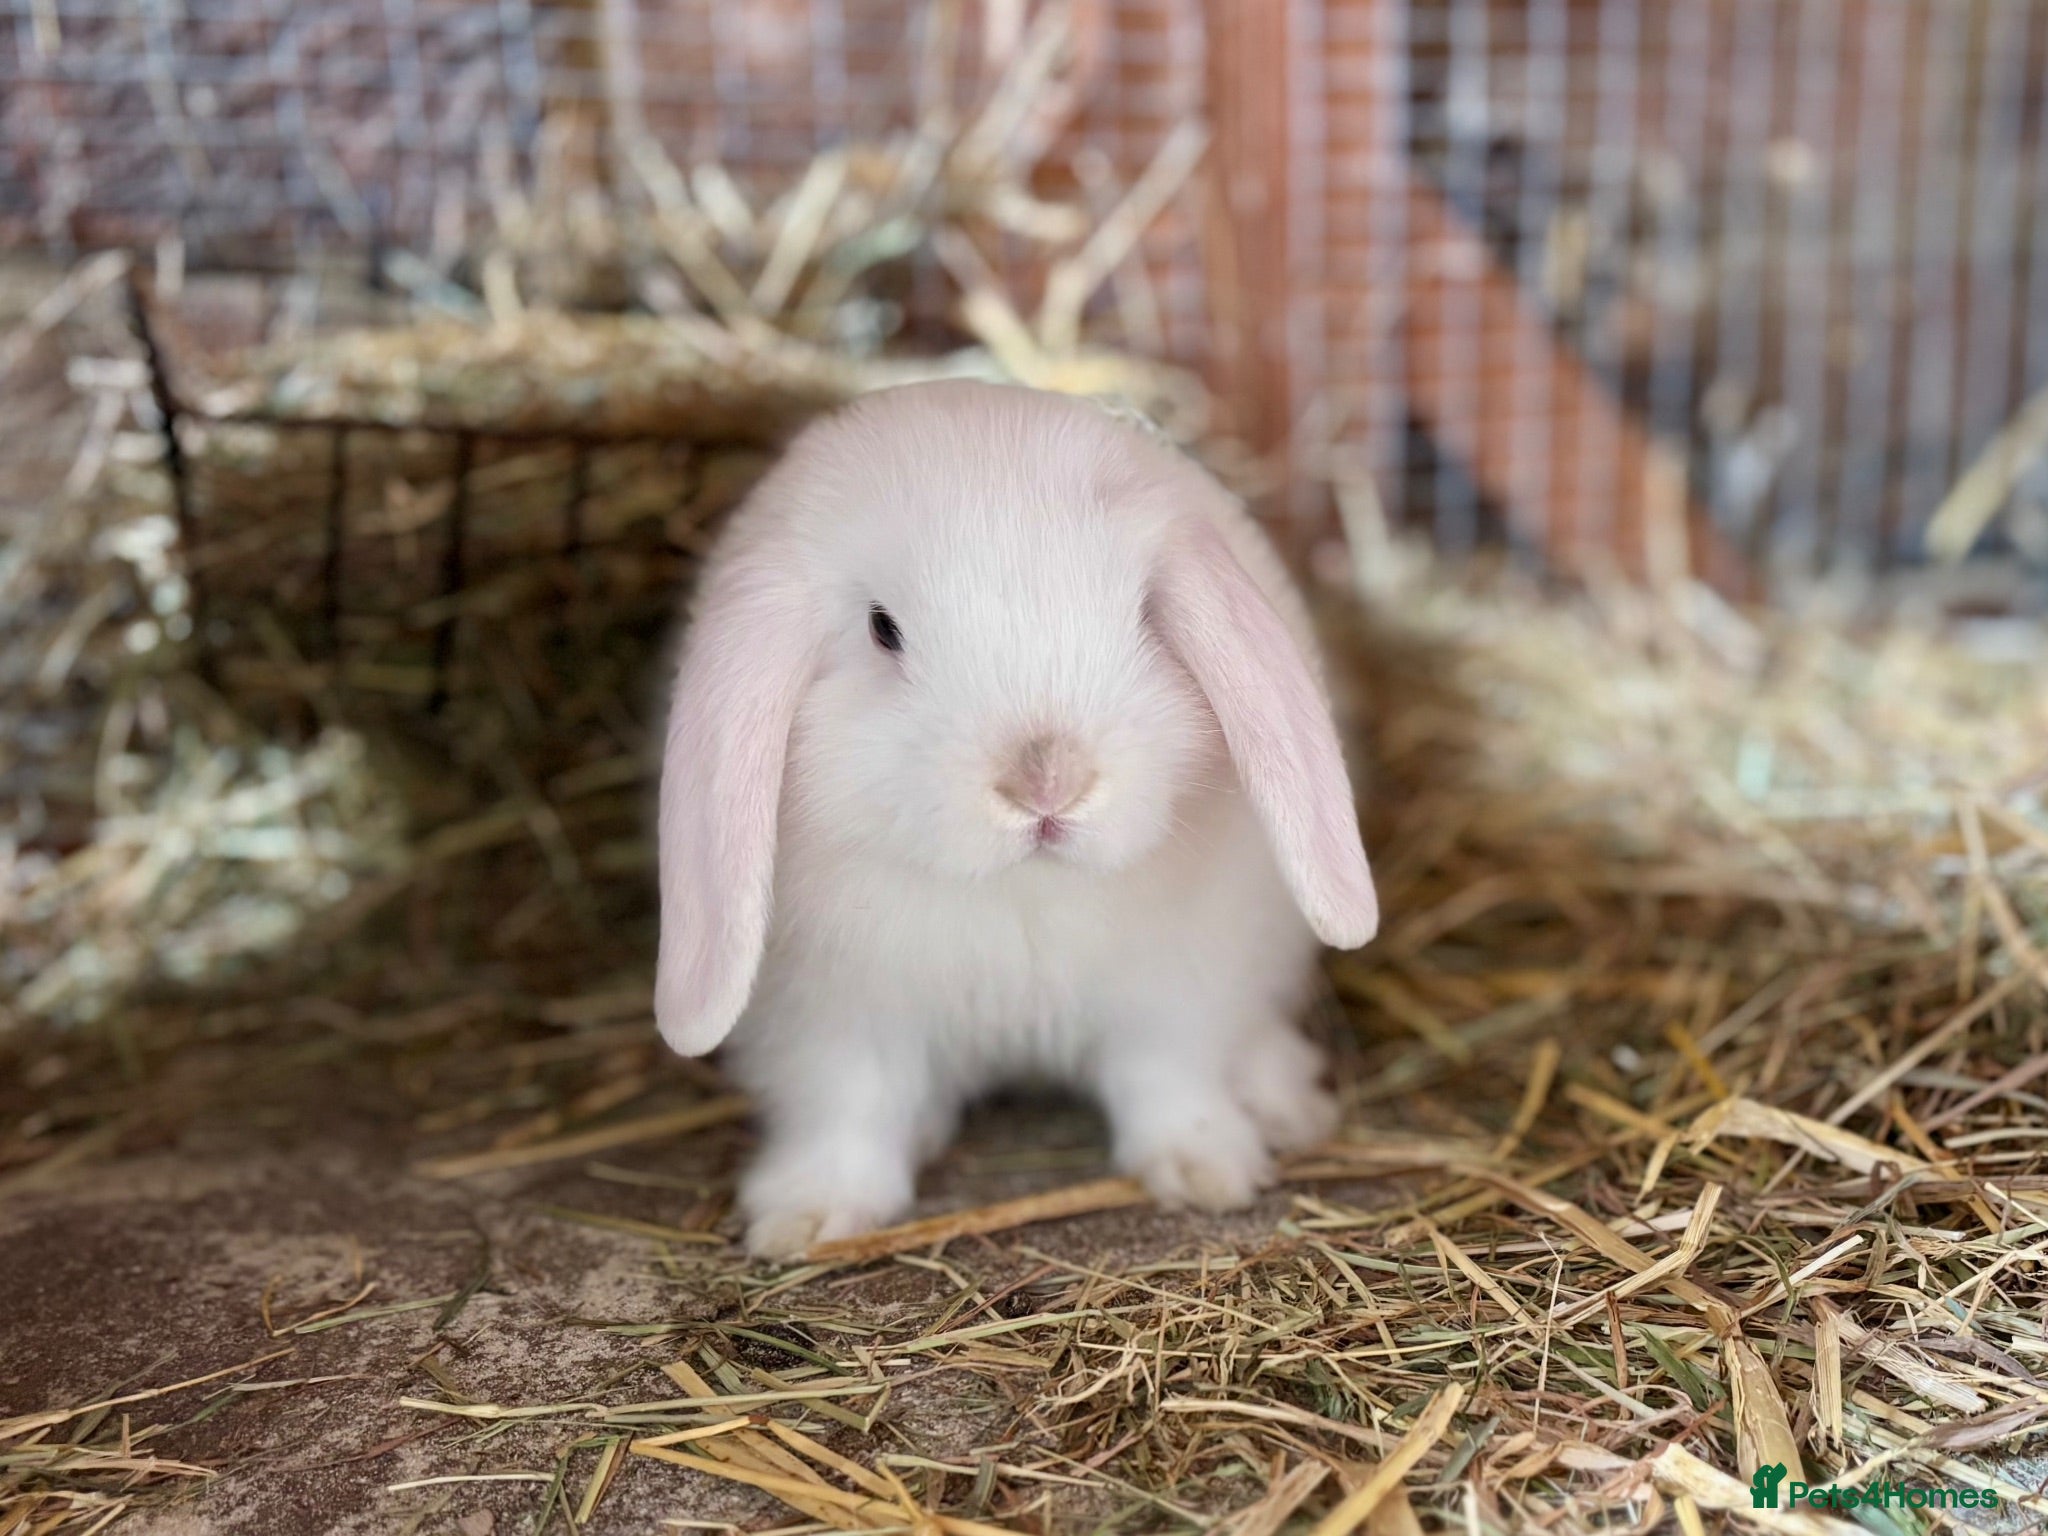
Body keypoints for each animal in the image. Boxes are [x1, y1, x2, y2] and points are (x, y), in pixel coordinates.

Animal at [655, 380, 1379, 1259]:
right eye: (883, 628)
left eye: (1144, 614)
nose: (1047, 782)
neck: (1021, 891)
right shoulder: (834, 1020)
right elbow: (849, 1111)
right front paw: (807, 1220)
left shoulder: (1172, 993)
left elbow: (1170, 1080)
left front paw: (1210, 1172)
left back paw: (1288, 1101)